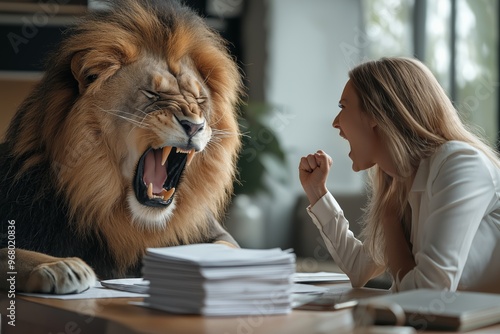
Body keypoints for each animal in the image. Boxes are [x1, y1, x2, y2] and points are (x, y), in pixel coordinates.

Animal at [0, 0, 242, 294]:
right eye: (153, 94)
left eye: (199, 100)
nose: (194, 126)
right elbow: (9, 251)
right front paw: (61, 266)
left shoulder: (217, 234)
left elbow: (228, 249)